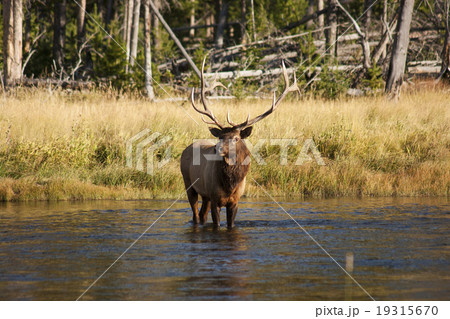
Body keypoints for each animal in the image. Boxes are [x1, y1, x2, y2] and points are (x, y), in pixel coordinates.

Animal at [179, 58, 298, 229]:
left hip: (204, 194)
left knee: (202, 215)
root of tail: (186, 150)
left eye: (236, 138)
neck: (230, 186)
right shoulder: (215, 198)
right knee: (195, 215)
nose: (218, 148)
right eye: (220, 137)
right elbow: (217, 225)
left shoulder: (234, 201)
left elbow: (231, 224)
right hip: (188, 183)